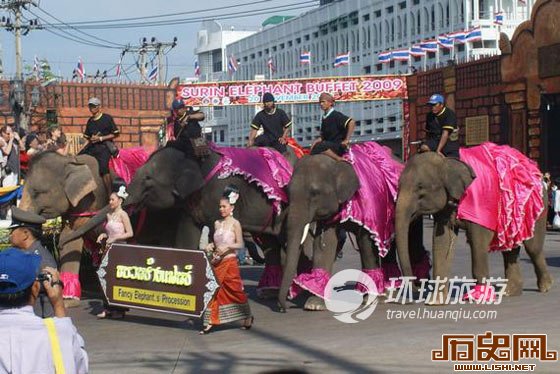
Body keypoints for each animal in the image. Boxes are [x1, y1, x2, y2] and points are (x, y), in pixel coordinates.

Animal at [19, 150, 177, 306]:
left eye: (37, 192)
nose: (55, 244)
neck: (72, 160)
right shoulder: (76, 209)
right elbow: (71, 241)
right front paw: (68, 300)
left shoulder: (96, 201)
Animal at [278, 153, 426, 312]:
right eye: (287, 192)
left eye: (314, 193)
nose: (284, 308)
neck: (338, 163)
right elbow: (326, 243)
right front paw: (314, 305)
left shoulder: (371, 209)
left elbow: (366, 242)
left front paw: (370, 300)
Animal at [396, 151, 552, 300]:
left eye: (420, 187)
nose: (416, 289)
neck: (447, 162)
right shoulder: (446, 207)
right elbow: (442, 241)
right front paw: (435, 302)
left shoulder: (480, 205)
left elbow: (478, 241)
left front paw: (479, 297)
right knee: (509, 249)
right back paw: (509, 292)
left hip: (539, 207)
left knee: (533, 248)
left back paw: (545, 287)